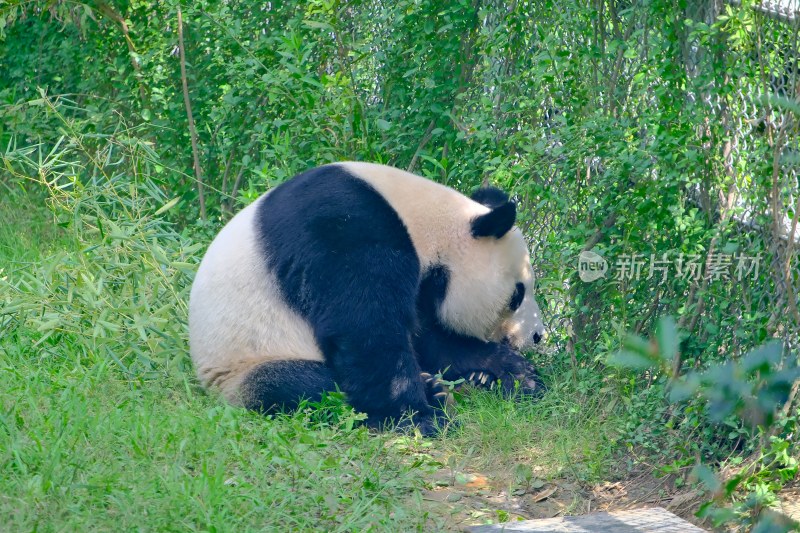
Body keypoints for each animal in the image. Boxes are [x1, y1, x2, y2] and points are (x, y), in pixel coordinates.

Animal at [191, 163, 548, 436]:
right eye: (517, 294)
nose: (538, 336)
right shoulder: (346, 231)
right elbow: (367, 331)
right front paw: (420, 418)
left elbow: (428, 338)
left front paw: (513, 372)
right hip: (246, 362)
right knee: (299, 386)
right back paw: (431, 391)